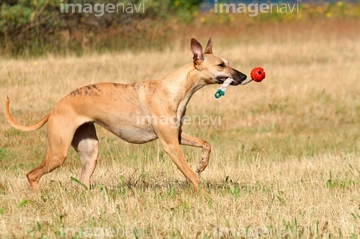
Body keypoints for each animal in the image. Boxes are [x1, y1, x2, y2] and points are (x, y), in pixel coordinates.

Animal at [4, 39, 248, 192]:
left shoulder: (177, 136)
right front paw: (204, 193)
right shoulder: (170, 145)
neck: (174, 89)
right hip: (58, 151)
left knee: (82, 181)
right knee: (32, 174)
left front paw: (202, 164)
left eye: (227, 63)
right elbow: (190, 175)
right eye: (221, 64)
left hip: (89, 151)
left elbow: (206, 144)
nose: (245, 75)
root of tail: (55, 109)